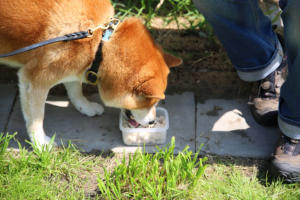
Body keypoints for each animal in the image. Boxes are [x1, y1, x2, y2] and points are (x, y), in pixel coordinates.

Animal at [0, 0, 180, 147]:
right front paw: (40, 143)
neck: (101, 42)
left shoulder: (72, 67)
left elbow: (75, 89)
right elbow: (36, 118)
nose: (152, 121)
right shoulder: (33, 79)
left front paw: (85, 107)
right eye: (148, 103)